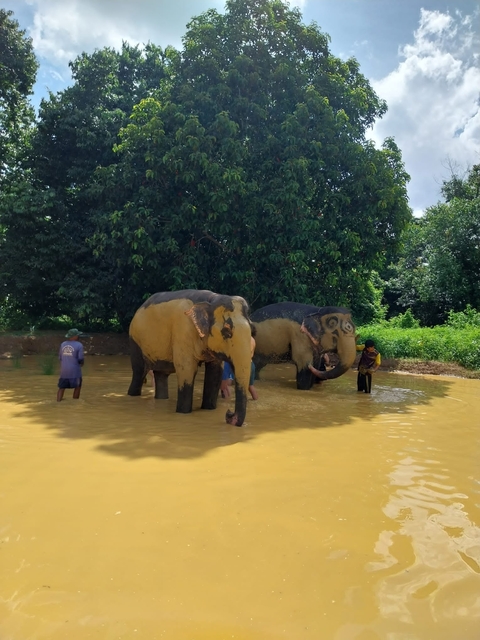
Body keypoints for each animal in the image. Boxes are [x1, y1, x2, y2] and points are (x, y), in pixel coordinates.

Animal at [128, 290, 253, 426]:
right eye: (226, 332)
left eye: (253, 330)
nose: (229, 414)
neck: (212, 299)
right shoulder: (183, 330)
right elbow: (187, 369)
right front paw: (183, 413)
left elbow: (215, 373)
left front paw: (209, 409)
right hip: (135, 341)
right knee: (139, 372)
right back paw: (132, 396)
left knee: (161, 374)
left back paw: (161, 399)